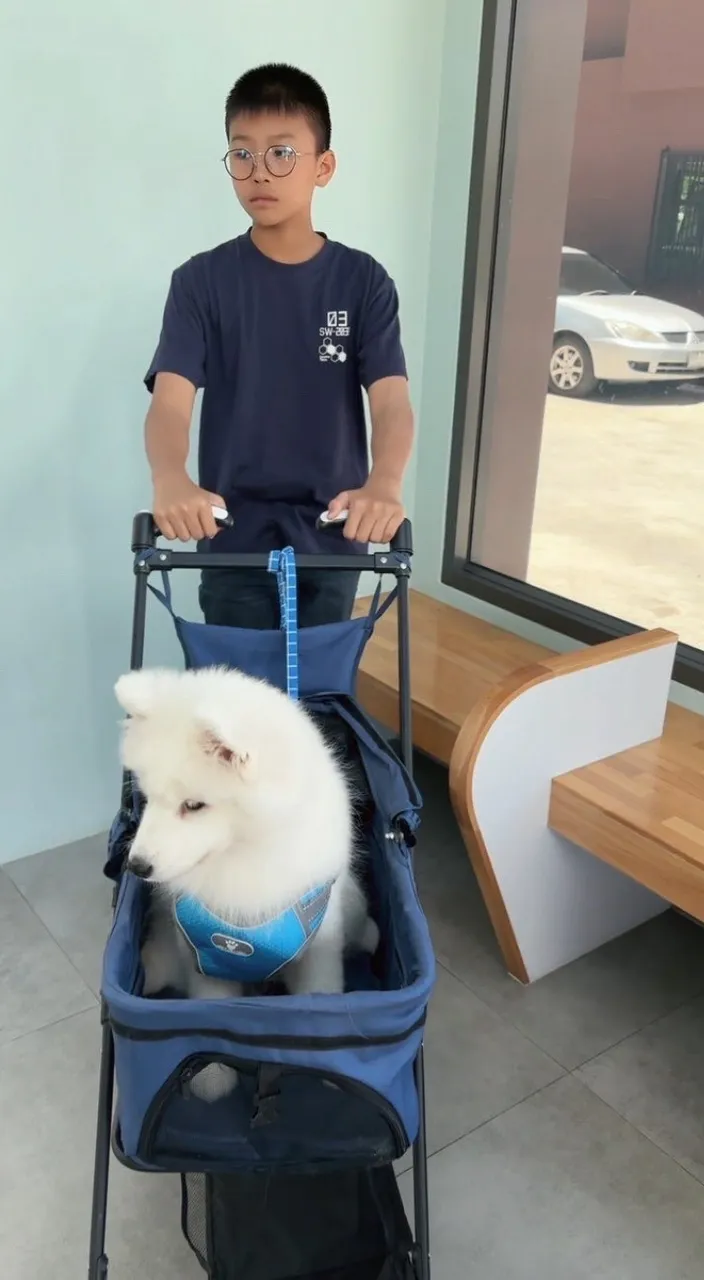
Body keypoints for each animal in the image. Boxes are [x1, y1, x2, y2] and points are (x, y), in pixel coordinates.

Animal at [114, 665, 381, 1095]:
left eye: (194, 805)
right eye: (148, 797)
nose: (136, 867)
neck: (243, 859)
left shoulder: (319, 945)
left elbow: (321, 997)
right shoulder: (202, 956)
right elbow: (209, 1013)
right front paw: (212, 1078)